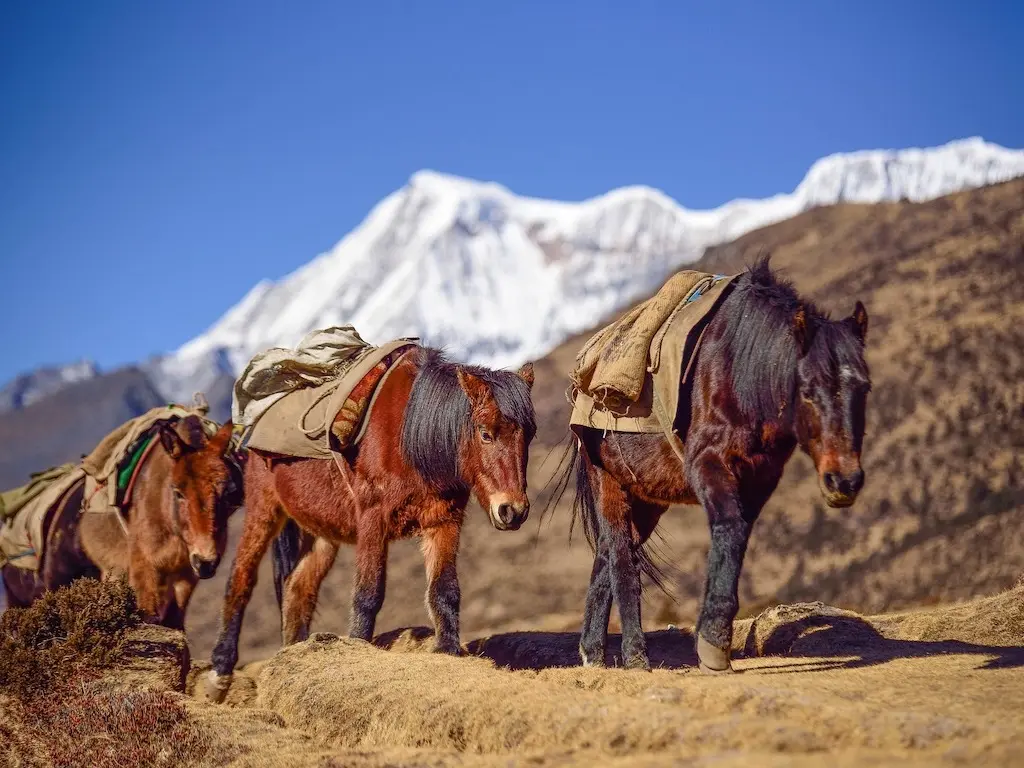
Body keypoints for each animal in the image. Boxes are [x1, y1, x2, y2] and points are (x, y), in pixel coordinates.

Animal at [201, 348, 536, 704]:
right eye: (485, 433)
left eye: (529, 435)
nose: (513, 511)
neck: (411, 436)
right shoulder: (373, 521)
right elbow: (368, 594)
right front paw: (359, 649)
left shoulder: (444, 521)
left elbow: (445, 590)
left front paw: (447, 652)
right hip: (263, 511)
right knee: (240, 579)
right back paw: (219, 674)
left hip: (321, 535)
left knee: (298, 589)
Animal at [548, 257, 868, 671]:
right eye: (809, 391)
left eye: (864, 388)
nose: (844, 482)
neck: (742, 371)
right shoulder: (708, 464)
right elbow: (728, 527)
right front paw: (713, 646)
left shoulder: (760, 479)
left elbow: (738, 535)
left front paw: (716, 640)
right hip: (609, 481)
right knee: (620, 557)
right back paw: (635, 656)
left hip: (646, 499)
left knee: (608, 551)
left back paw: (594, 654)